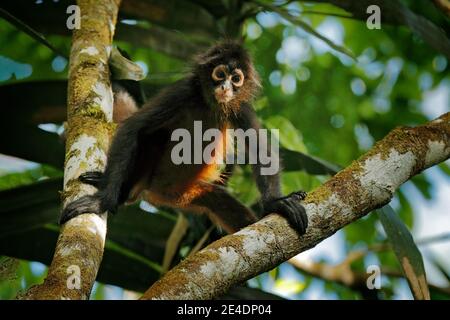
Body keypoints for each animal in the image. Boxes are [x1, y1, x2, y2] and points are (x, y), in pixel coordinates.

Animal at [60, 40, 310, 235]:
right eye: (220, 74)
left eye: (236, 79)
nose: (225, 87)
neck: (210, 105)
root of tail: (161, 191)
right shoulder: (183, 91)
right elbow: (133, 128)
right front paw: (102, 201)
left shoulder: (241, 107)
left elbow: (260, 152)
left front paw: (276, 204)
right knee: (153, 134)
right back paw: (122, 194)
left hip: (192, 190)